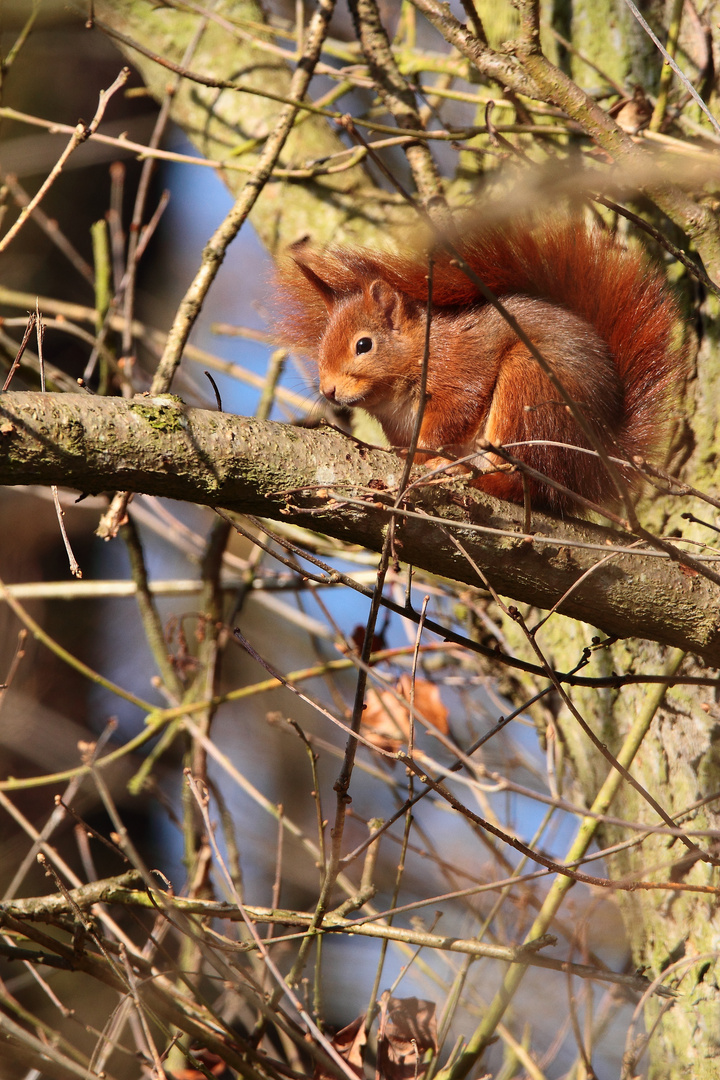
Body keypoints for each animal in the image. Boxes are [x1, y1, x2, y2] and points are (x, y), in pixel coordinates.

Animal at [278, 219, 686, 514]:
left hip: (530, 391)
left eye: (364, 345)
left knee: (525, 483)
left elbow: (456, 411)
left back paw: (470, 475)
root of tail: (600, 457)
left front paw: (423, 453)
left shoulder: (462, 367)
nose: (328, 390)